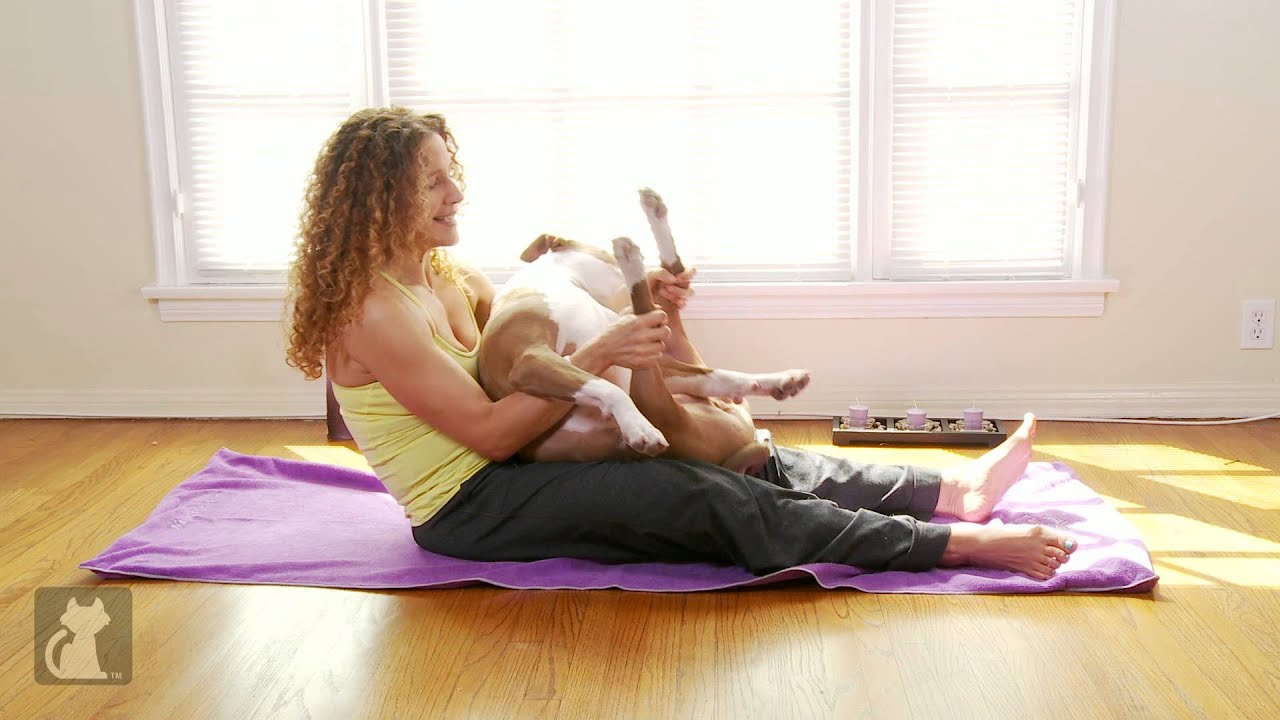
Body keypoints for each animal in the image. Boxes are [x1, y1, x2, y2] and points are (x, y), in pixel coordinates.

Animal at [481, 188, 808, 474]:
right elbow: (605, 386)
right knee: (650, 299)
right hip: (659, 399)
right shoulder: (528, 359)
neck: (560, 281)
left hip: (660, 370)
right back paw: (633, 255)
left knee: (716, 372)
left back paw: (782, 380)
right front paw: (638, 426)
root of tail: (736, 451)